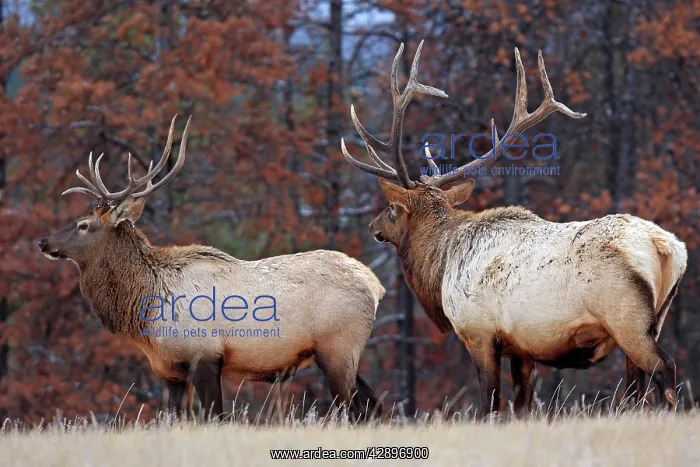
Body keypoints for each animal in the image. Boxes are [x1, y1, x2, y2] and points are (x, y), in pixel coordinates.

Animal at [39, 116, 385, 421]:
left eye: (83, 225)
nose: (43, 241)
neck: (146, 311)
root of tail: (374, 284)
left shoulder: (205, 356)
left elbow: (215, 416)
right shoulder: (170, 370)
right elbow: (177, 420)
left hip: (338, 348)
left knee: (353, 408)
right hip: (346, 354)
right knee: (373, 406)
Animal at [341, 41, 687, 418]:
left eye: (392, 208)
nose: (373, 225)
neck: (440, 267)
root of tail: (668, 246)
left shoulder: (478, 332)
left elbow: (489, 405)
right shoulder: (523, 347)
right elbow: (522, 406)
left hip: (626, 317)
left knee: (665, 369)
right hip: (658, 317)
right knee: (638, 388)